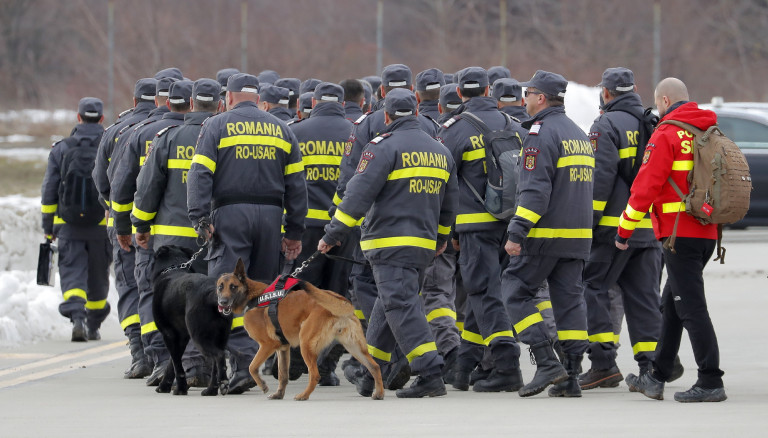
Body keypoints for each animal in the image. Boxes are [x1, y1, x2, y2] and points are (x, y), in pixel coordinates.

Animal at [152, 245, 232, 396]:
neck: (174, 268)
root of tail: (211, 293)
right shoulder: (182, 337)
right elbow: (172, 363)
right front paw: (165, 385)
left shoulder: (168, 335)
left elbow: (177, 365)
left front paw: (180, 388)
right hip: (221, 337)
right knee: (215, 363)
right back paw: (211, 390)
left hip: (199, 337)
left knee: (219, 356)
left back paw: (223, 382)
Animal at [216, 260, 384, 400]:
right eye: (220, 287)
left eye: (233, 286)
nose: (222, 302)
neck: (252, 297)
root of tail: (341, 299)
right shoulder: (283, 348)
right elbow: (283, 375)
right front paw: (278, 394)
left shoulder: (267, 345)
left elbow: (252, 367)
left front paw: (262, 385)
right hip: (354, 347)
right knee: (375, 366)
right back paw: (379, 393)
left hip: (306, 344)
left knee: (314, 375)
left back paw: (304, 395)